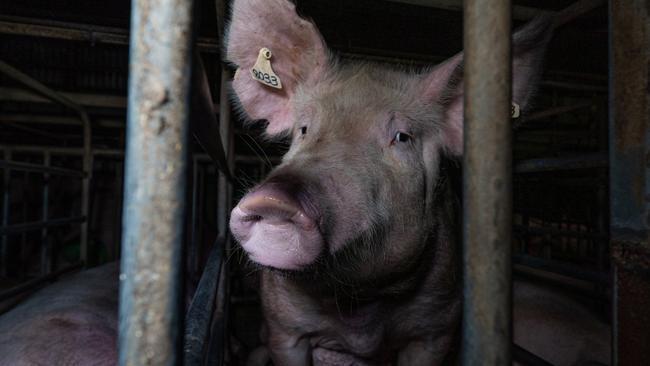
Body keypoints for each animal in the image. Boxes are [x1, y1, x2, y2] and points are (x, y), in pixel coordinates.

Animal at [224, 0, 552, 364]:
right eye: (304, 128)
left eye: (402, 137)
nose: (275, 199)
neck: (360, 300)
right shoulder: (282, 326)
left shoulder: (436, 327)